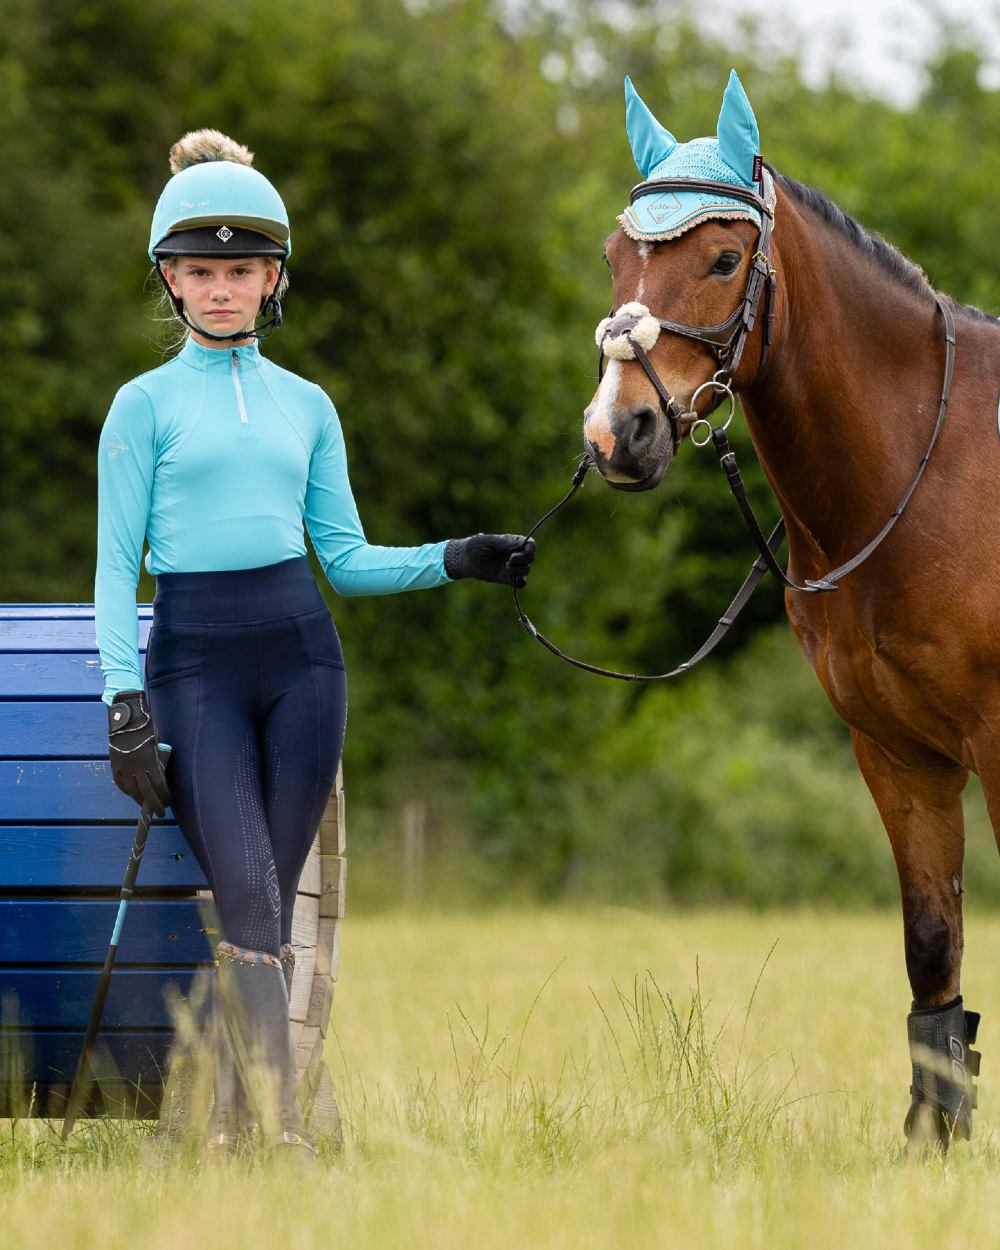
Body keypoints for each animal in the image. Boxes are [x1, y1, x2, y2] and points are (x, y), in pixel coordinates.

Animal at [582, 73, 995, 1150]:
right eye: (614, 258)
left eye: (725, 258)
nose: (616, 434)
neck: (929, 470)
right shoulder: (895, 752)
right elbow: (930, 946)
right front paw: (930, 1145)